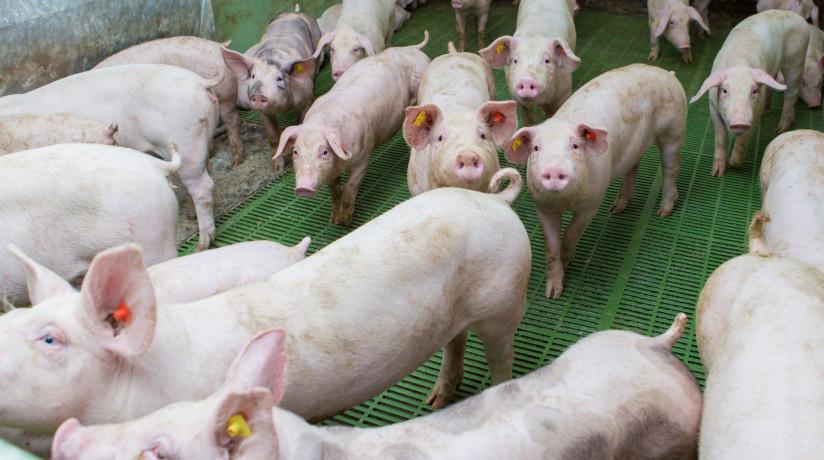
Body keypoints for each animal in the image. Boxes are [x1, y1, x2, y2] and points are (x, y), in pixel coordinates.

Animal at [220, 11, 322, 172]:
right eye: (253, 76)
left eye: (279, 78)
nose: (258, 95)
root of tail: (295, 12)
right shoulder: (263, 112)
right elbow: (273, 137)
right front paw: (278, 168)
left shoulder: (303, 100)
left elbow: (300, 125)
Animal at [273, 36, 431, 227]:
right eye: (296, 151)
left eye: (324, 151)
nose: (303, 188)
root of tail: (412, 48)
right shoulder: (331, 172)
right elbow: (334, 191)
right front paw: (333, 220)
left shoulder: (363, 158)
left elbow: (349, 189)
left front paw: (345, 222)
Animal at [504, 64, 685, 299]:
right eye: (536, 148)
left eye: (575, 146)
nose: (554, 169)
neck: (565, 201)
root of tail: (667, 73)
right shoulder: (542, 206)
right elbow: (550, 247)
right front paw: (552, 294)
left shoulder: (592, 203)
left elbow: (571, 234)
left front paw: (567, 262)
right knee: (633, 167)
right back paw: (616, 209)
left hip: (674, 130)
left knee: (670, 168)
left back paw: (663, 212)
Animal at [690, 10, 810, 177]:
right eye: (725, 90)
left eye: (754, 91)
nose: (740, 121)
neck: (738, 63)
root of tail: (798, 17)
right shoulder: (712, 105)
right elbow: (720, 136)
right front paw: (717, 173)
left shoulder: (754, 114)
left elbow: (743, 139)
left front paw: (733, 164)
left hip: (796, 59)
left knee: (791, 93)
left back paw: (780, 129)